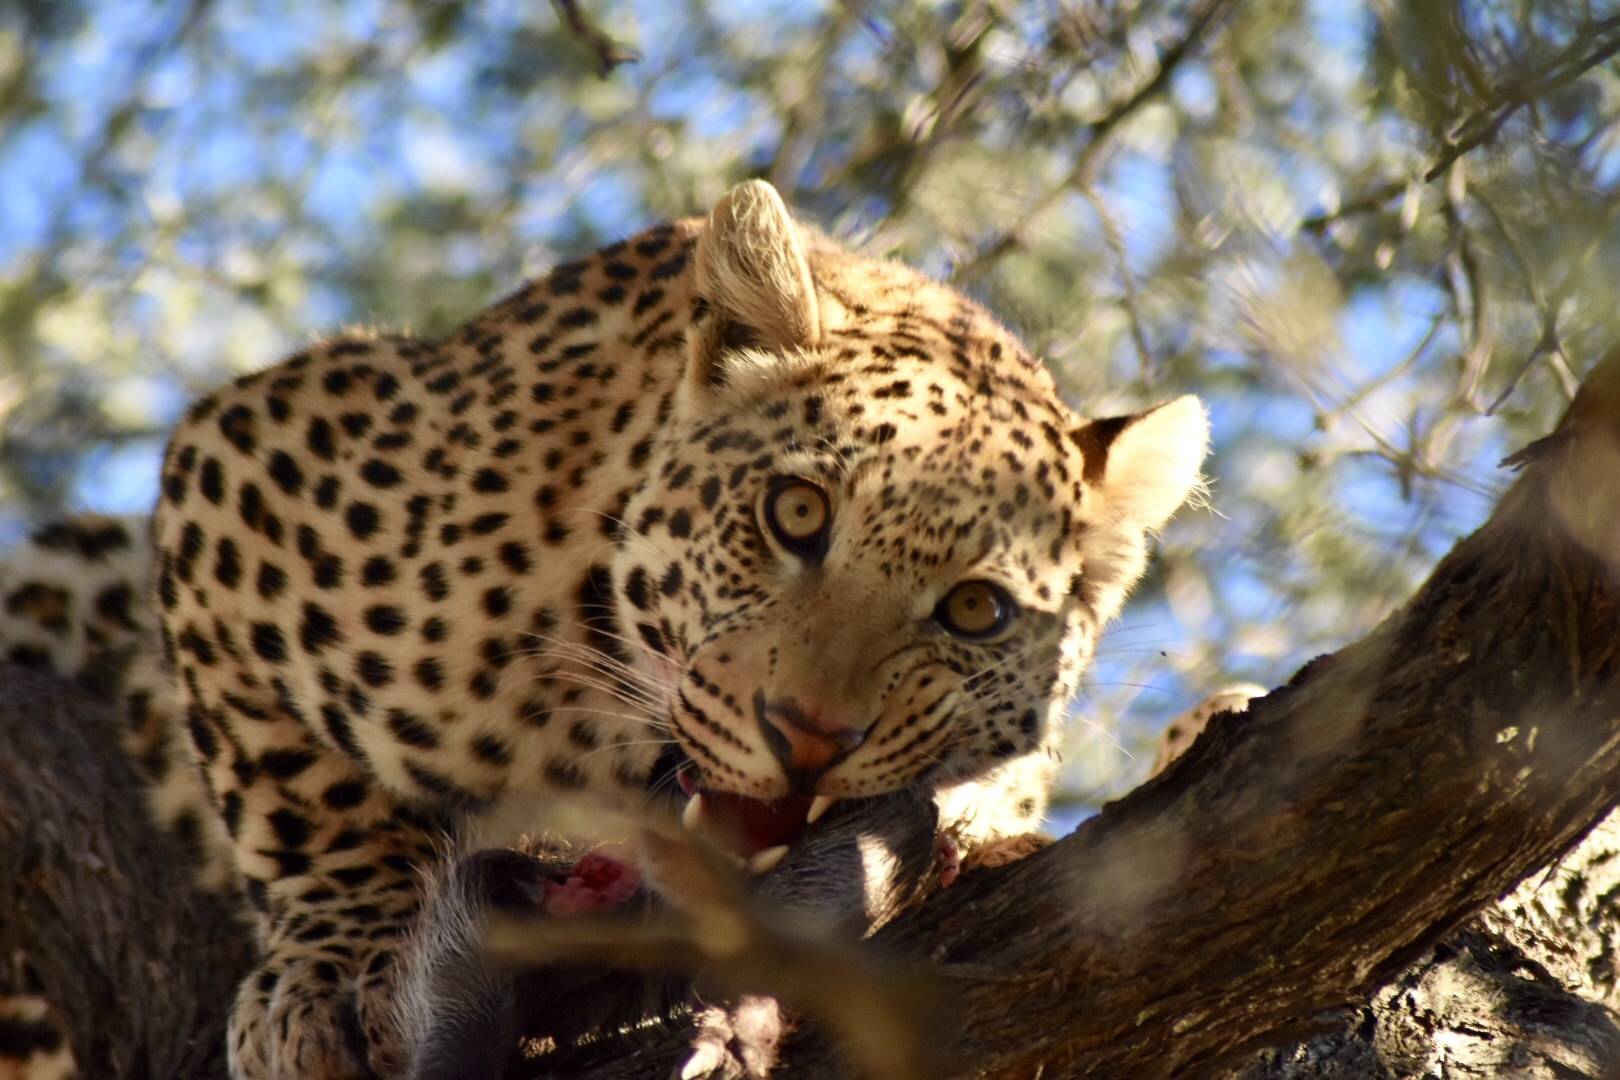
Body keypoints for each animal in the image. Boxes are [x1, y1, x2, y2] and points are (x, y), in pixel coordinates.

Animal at [0, 181, 1205, 1075]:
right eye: (797, 513)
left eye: (975, 611)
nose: (809, 740)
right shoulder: (251, 457)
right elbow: (303, 796)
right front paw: (338, 972)